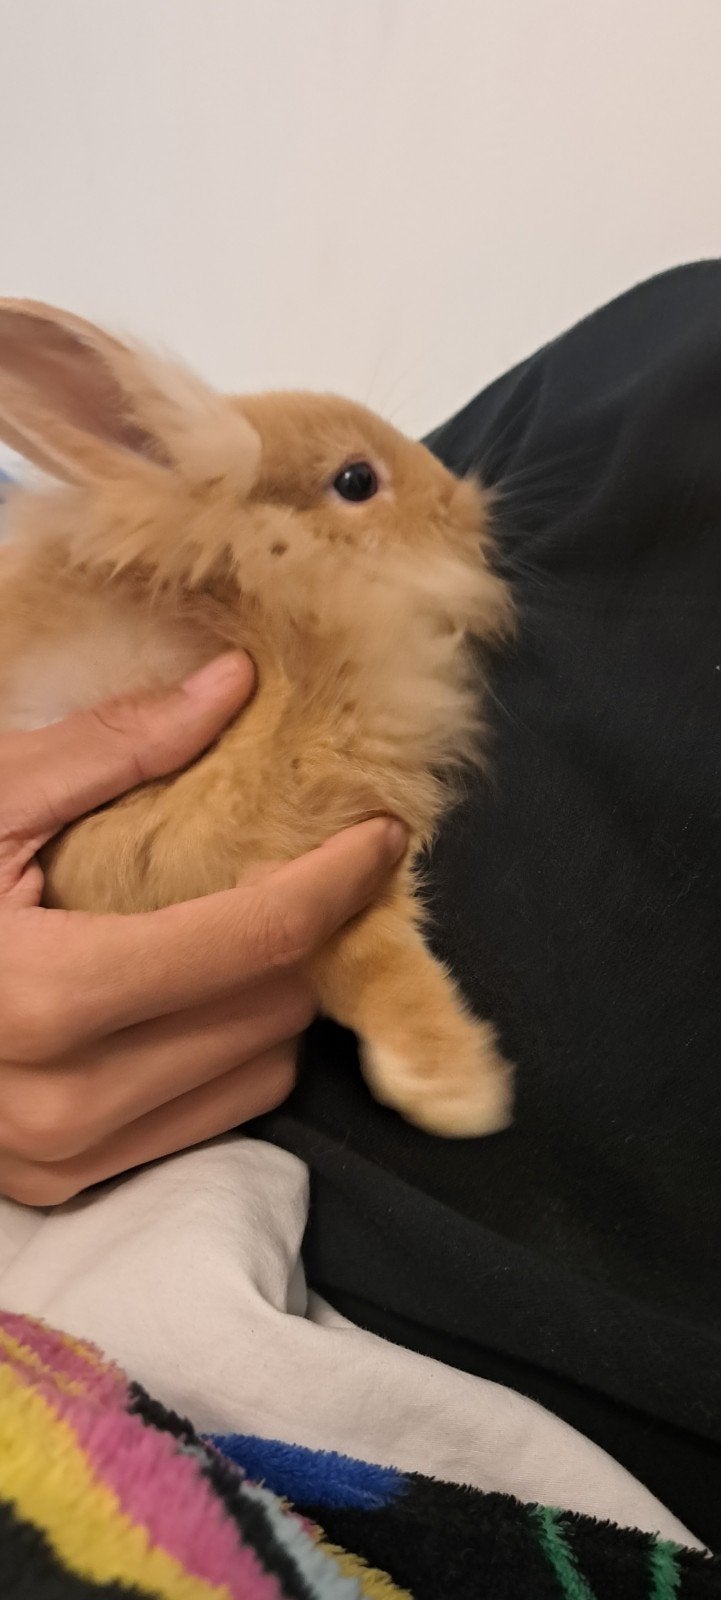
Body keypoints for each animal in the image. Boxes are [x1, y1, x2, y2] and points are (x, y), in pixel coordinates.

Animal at [0, 299, 514, 1137]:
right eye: (355, 480)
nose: (462, 504)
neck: (286, 619)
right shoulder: (260, 858)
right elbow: (377, 967)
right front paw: (456, 1093)